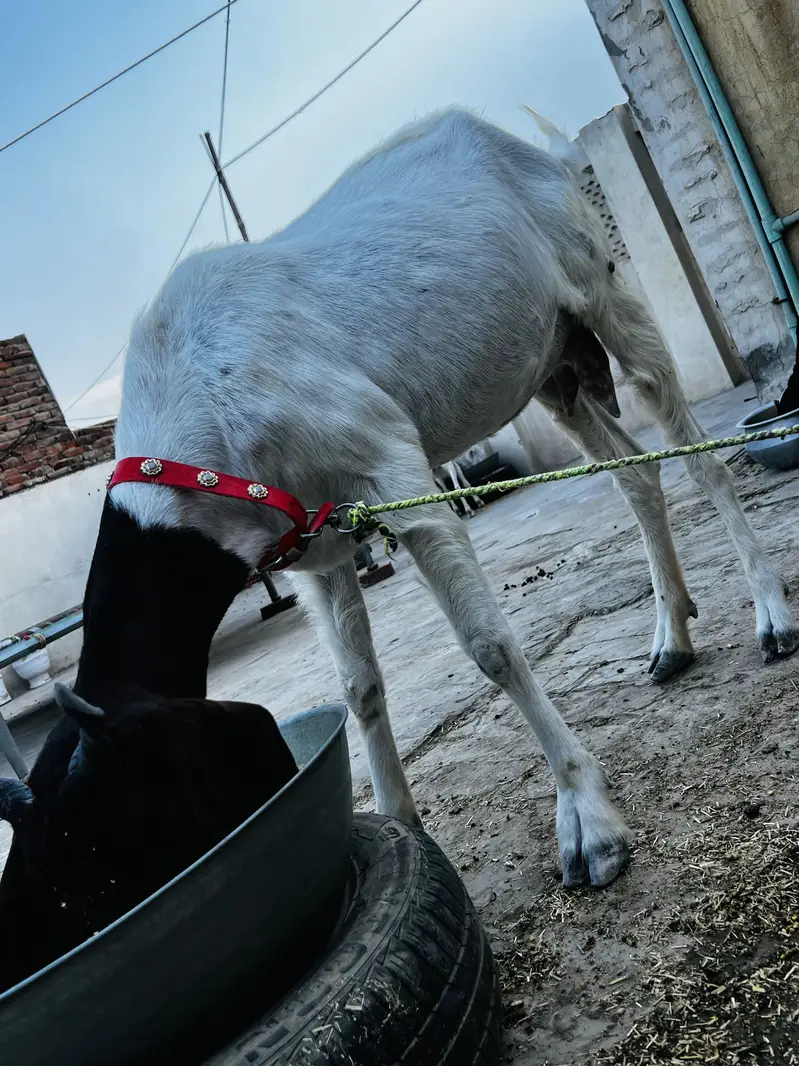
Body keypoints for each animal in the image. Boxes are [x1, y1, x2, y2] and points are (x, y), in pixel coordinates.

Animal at [42, 108, 796, 891]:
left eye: (111, 834)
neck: (200, 401)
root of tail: (540, 150)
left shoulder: (391, 470)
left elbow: (489, 646)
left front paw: (586, 819)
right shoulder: (314, 547)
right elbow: (358, 687)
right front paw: (396, 822)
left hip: (604, 294)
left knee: (696, 454)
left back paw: (770, 613)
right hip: (552, 369)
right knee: (635, 474)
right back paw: (670, 635)